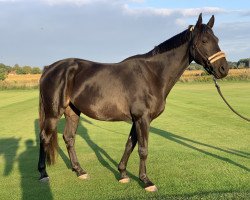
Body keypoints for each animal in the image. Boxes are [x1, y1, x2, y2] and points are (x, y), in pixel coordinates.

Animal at [37, 13, 229, 191]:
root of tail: (49, 68)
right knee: (45, 137)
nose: (223, 69)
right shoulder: (142, 118)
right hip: (53, 113)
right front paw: (146, 181)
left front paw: (122, 173)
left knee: (69, 138)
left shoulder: (137, 119)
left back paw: (79, 171)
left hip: (72, 112)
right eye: (204, 40)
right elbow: (143, 150)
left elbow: (130, 144)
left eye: (217, 39)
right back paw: (43, 173)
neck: (152, 74)